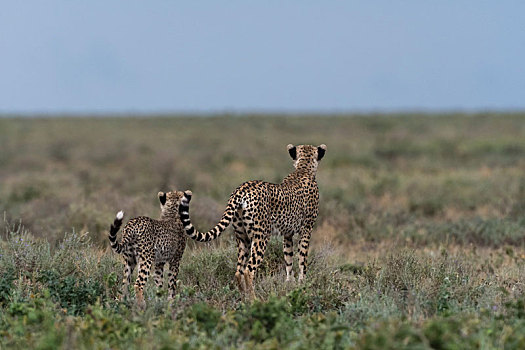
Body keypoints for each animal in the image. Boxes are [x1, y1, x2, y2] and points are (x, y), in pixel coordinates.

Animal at [178, 144, 326, 300]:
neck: (303, 169)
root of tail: (241, 189)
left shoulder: (287, 235)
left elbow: (288, 259)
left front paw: (289, 284)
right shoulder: (306, 230)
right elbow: (302, 260)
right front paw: (303, 285)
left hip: (242, 237)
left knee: (238, 271)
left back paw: (244, 297)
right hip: (261, 236)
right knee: (249, 271)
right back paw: (254, 299)